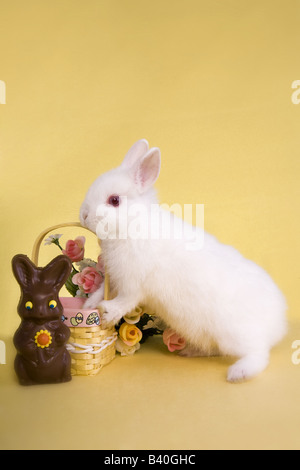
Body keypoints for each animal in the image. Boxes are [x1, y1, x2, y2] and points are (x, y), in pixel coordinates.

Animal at [79, 140, 286, 382]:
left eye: (114, 200)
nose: (83, 215)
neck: (133, 225)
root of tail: (279, 323)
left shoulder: (133, 283)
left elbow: (126, 301)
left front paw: (107, 312)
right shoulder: (114, 278)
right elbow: (101, 290)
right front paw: (89, 305)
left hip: (236, 335)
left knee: (259, 353)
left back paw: (238, 372)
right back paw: (190, 351)